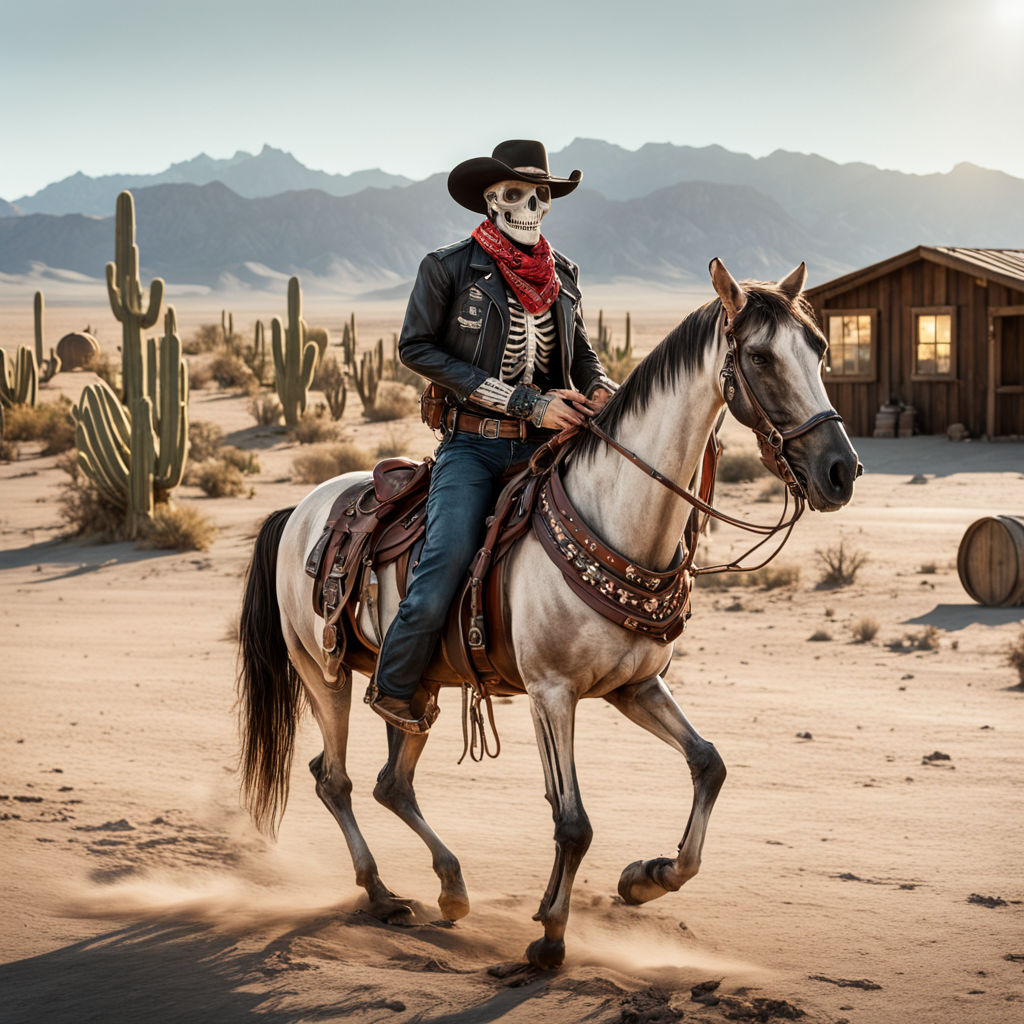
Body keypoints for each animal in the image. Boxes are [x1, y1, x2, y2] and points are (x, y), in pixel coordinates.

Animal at [235, 256, 860, 966]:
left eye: (820, 348)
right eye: (758, 356)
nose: (840, 471)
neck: (615, 517)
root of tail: (301, 510)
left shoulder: (635, 685)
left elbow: (709, 764)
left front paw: (647, 878)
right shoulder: (550, 692)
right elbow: (573, 822)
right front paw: (551, 936)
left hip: (416, 685)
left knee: (390, 782)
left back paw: (451, 887)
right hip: (323, 674)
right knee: (334, 779)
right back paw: (383, 894)